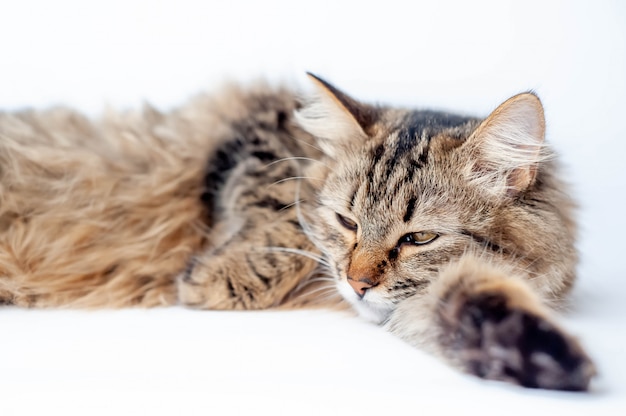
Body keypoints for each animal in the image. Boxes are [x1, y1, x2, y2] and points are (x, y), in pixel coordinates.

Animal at [0, 74, 592, 390]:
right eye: (348, 222)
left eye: (418, 240)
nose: (358, 284)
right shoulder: (256, 131)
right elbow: (288, 202)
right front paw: (213, 276)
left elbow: (470, 301)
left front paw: (539, 353)